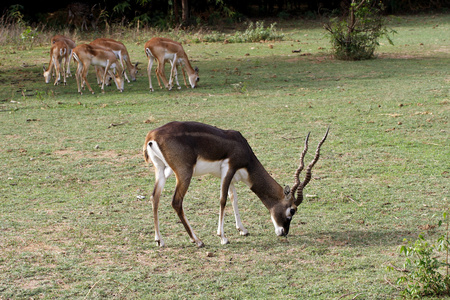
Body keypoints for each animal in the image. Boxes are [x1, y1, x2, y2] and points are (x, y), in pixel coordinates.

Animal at [144, 120, 330, 247]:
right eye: (292, 210)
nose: (283, 232)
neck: (243, 148)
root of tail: (152, 136)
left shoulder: (230, 176)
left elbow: (234, 198)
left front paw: (242, 230)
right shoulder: (229, 168)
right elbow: (223, 200)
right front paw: (223, 237)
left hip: (161, 171)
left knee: (154, 198)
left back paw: (159, 240)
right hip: (184, 174)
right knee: (176, 202)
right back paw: (197, 241)